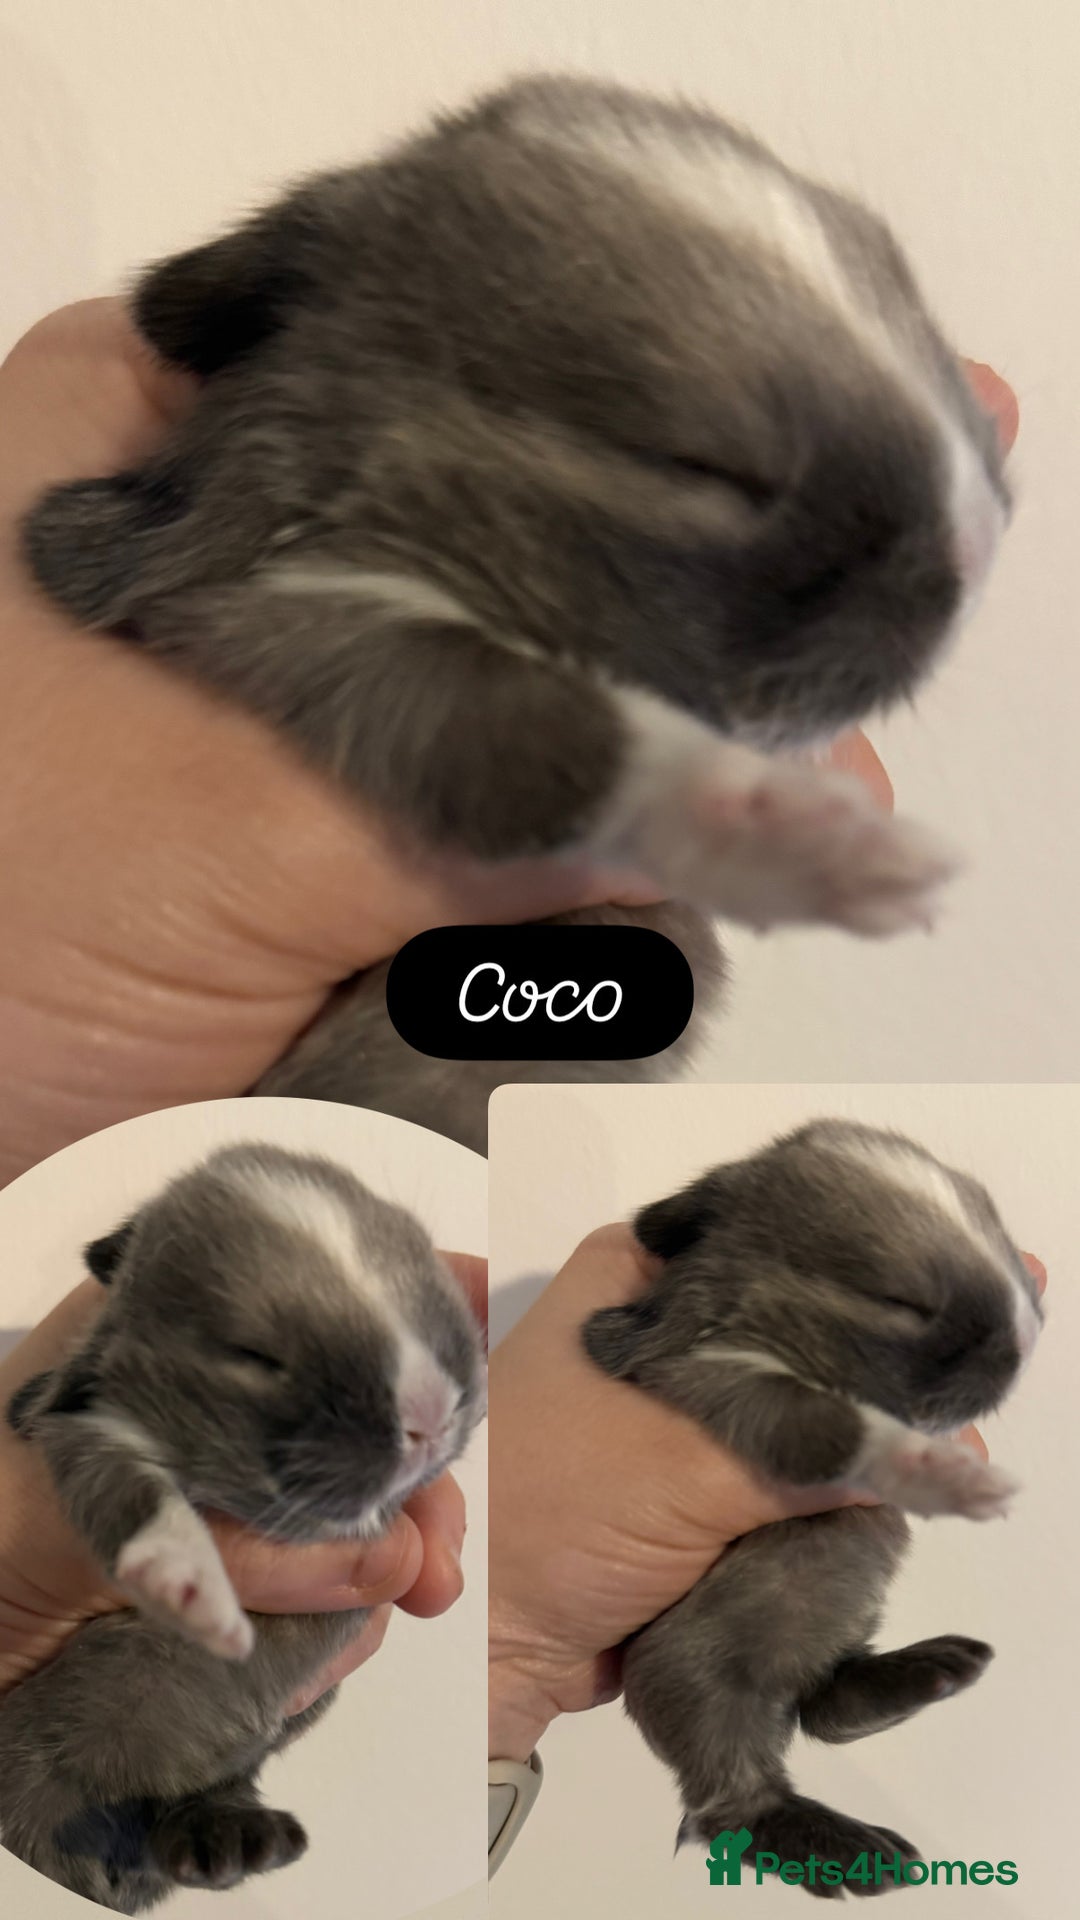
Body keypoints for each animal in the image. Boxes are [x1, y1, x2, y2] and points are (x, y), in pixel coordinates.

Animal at [0, 1143, 486, 1914]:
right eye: (252, 1354)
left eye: (424, 1263)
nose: (432, 1413)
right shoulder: (87, 1435)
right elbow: (131, 1495)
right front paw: (195, 1593)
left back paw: (229, 1838)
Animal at [582, 1119, 1041, 1895]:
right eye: (900, 1302)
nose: (1024, 1343)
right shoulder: (717, 1383)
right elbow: (830, 1424)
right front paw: (955, 1477)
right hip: (692, 1674)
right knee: (730, 1803)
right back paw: (839, 1846)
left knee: (827, 1709)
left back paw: (928, 1668)